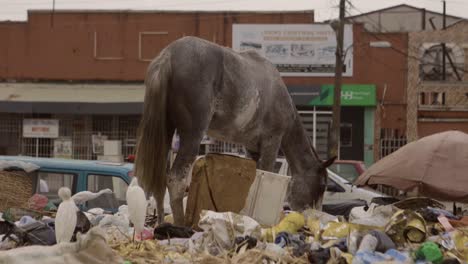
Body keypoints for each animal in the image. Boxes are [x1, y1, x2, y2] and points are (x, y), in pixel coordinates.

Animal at [135, 36, 336, 225]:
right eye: (322, 185)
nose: (315, 214)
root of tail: (168, 56)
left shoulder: (252, 147)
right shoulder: (272, 140)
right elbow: (265, 174)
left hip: (165, 130)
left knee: (160, 179)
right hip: (193, 133)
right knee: (176, 179)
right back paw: (180, 225)